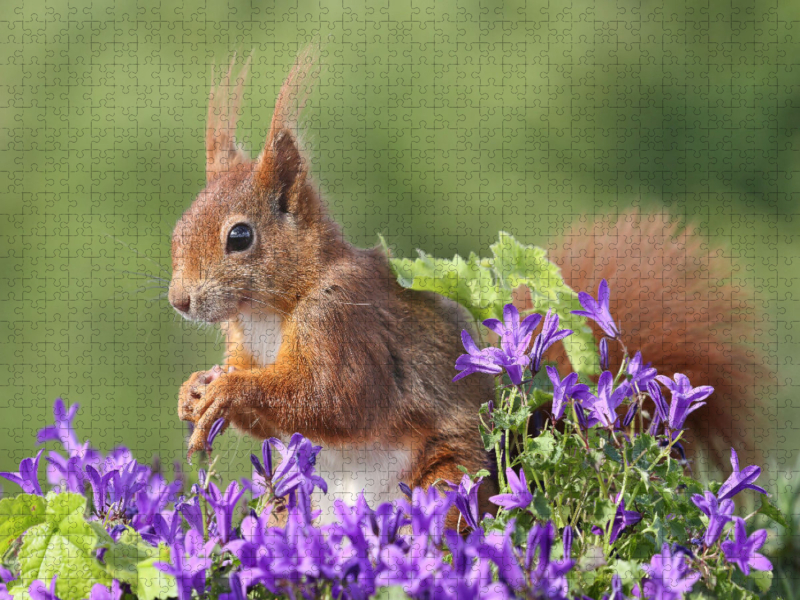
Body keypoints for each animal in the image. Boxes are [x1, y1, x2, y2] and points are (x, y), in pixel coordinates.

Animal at [167, 52, 768, 524]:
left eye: (239, 236)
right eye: (179, 227)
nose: (179, 300)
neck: (273, 309)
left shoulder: (344, 322)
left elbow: (335, 398)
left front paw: (227, 392)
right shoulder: (244, 342)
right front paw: (194, 391)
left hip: (450, 477)